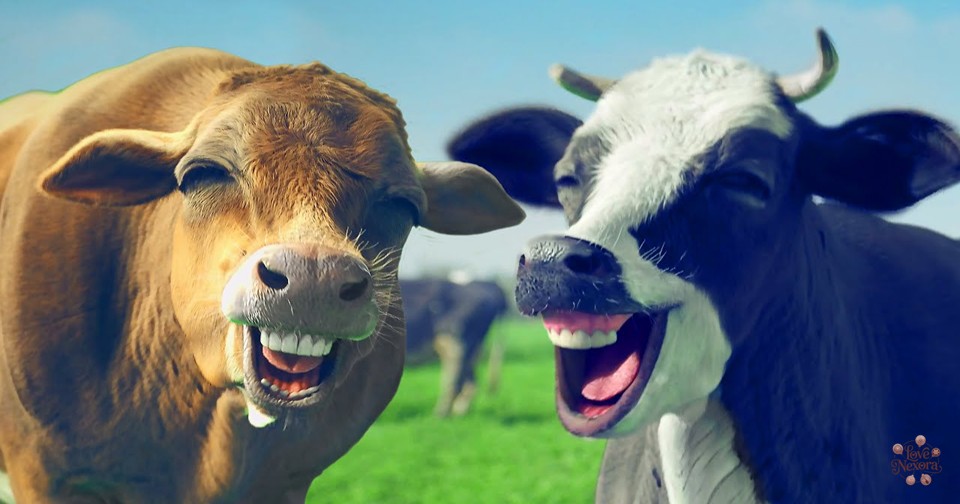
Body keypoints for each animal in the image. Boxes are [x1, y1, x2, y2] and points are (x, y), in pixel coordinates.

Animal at [400, 277, 509, 417]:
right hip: (472, 348)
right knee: (470, 382)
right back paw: (460, 412)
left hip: (455, 343)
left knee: (454, 381)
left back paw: (441, 414)